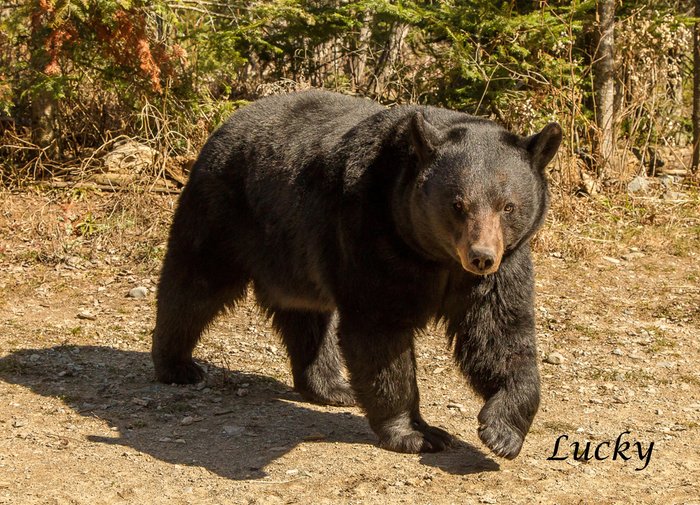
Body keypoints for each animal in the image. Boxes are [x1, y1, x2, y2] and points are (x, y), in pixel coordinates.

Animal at [153, 88, 564, 458]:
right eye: (458, 204)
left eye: (508, 205)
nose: (481, 256)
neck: (435, 255)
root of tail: (228, 123)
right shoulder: (372, 231)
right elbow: (379, 330)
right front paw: (418, 433)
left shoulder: (502, 266)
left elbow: (499, 332)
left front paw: (502, 430)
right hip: (224, 210)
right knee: (194, 283)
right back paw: (177, 364)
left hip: (293, 253)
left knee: (307, 316)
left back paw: (330, 386)